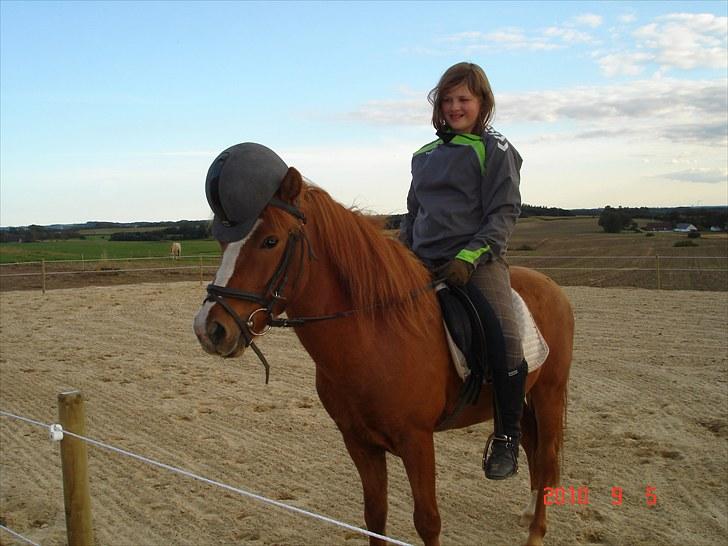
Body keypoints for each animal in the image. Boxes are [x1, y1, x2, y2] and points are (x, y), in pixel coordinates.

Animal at [193, 167, 574, 546]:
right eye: (223, 242)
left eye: (270, 241)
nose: (209, 328)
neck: (376, 337)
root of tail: (551, 286)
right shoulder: (359, 442)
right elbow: (374, 516)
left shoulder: (417, 441)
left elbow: (428, 521)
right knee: (531, 443)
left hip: (549, 393)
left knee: (546, 454)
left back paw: (536, 531)